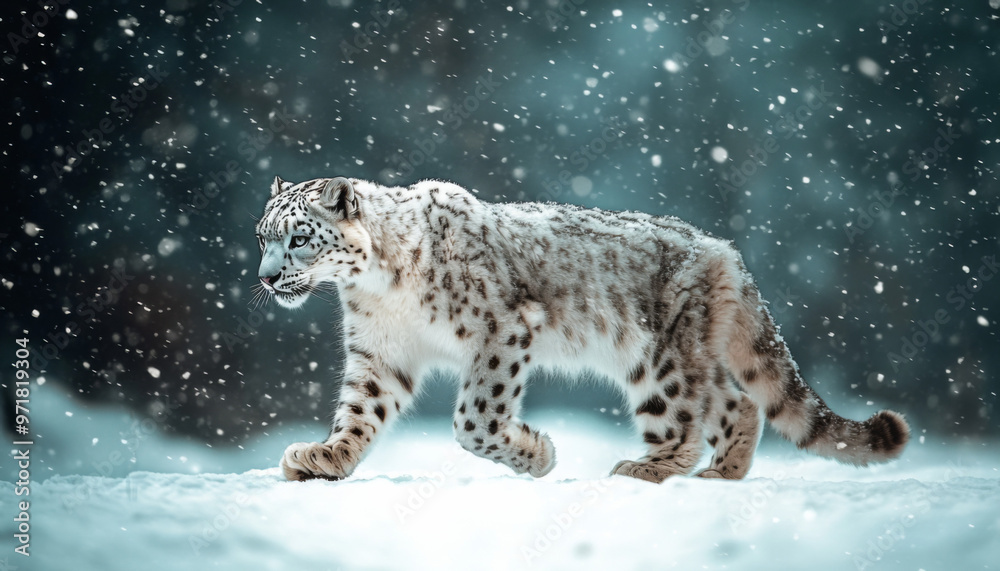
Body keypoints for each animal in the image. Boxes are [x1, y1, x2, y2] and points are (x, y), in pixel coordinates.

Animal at [255, 175, 910, 483]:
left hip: (659, 360)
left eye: (299, 236)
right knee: (737, 402)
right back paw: (721, 473)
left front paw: (536, 453)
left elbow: (475, 419)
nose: (265, 277)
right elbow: (360, 411)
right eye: (262, 236)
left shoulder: (502, 329)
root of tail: (723, 250)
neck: (377, 290)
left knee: (687, 415)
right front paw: (325, 456)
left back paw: (649, 467)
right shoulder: (379, 353)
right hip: (682, 357)